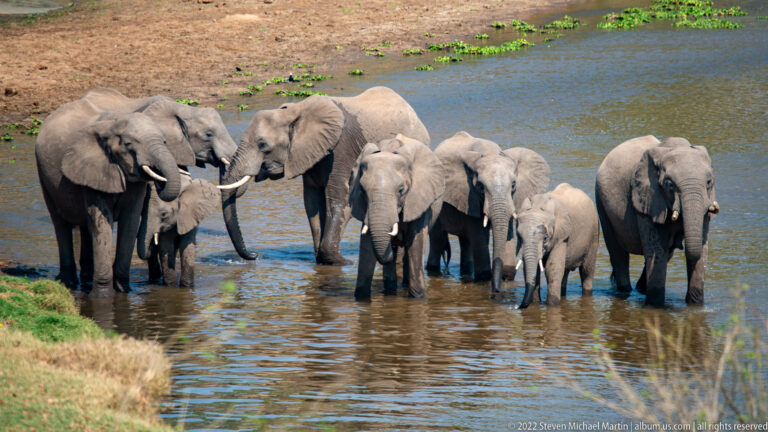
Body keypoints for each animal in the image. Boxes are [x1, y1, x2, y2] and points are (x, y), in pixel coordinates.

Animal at [35, 98, 182, 297]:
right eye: (128, 144)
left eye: (165, 141)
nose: (158, 176)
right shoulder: (92, 168)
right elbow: (102, 221)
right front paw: (103, 295)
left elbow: (130, 221)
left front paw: (123, 290)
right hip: (44, 177)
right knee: (60, 223)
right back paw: (68, 282)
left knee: (84, 226)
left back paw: (86, 278)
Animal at [217, 86, 430, 265]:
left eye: (262, 145)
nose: (255, 255)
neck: (293, 112)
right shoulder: (308, 155)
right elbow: (312, 204)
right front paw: (323, 259)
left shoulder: (341, 149)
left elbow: (340, 201)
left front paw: (343, 262)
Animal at [348, 135, 445, 298]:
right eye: (362, 190)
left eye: (401, 190)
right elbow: (366, 247)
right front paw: (361, 297)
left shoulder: (419, 199)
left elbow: (415, 244)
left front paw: (418, 298)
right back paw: (390, 289)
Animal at [426, 131, 550, 292]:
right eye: (480, 186)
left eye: (513, 185)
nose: (497, 290)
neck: (490, 153)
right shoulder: (470, 197)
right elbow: (479, 237)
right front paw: (485, 278)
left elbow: (507, 234)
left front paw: (506, 276)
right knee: (437, 239)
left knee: (465, 242)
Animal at [595, 135, 718, 306]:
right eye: (669, 184)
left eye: (709, 182)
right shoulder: (647, 200)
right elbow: (657, 251)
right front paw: (655, 306)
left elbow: (701, 249)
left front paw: (695, 305)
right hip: (601, 201)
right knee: (618, 252)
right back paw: (626, 290)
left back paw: (641, 288)